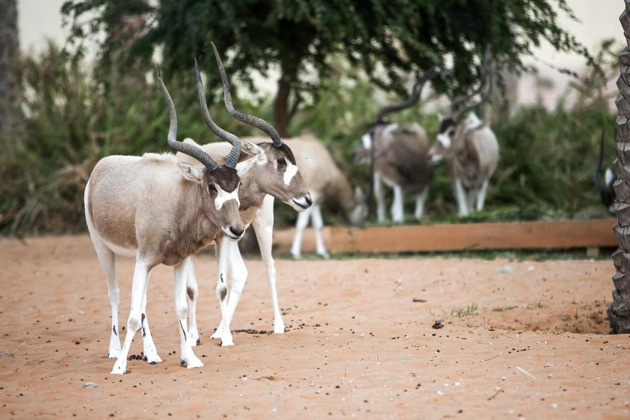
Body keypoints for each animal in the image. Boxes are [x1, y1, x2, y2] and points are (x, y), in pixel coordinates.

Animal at [82, 65, 244, 374]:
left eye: (237, 183)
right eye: (212, 186)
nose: (237, 229)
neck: (176, 200)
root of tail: (100, 168)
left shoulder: (177, 262)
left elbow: (178, 306)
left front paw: (189, 358)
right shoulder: (144, 261)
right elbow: (133, 315)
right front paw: (120, 367)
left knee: (142, 303)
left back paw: (152, 354)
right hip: (103, 248)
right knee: (116, 294)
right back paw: (115, 351)